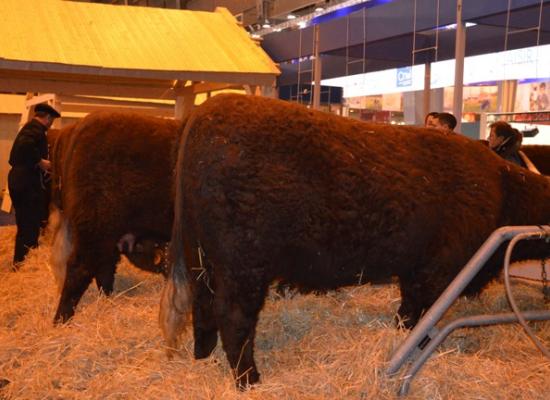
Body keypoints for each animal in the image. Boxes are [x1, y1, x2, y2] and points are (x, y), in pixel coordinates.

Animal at [49, 111, 183, 322]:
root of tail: (83, 123)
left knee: (105, 265)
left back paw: (107, 300)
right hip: (96, 226)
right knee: (80, 268)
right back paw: (61, 319)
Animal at [160, 94, 550, 388]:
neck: (503, 189)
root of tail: (206, 112)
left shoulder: (417, 271)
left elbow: (409, 315)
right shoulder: (437, 271)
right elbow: (419, 316)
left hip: (201, 258)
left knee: (203, 307)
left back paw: (202, 357)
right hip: (242, 263)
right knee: (234, 316)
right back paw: (249, 380)